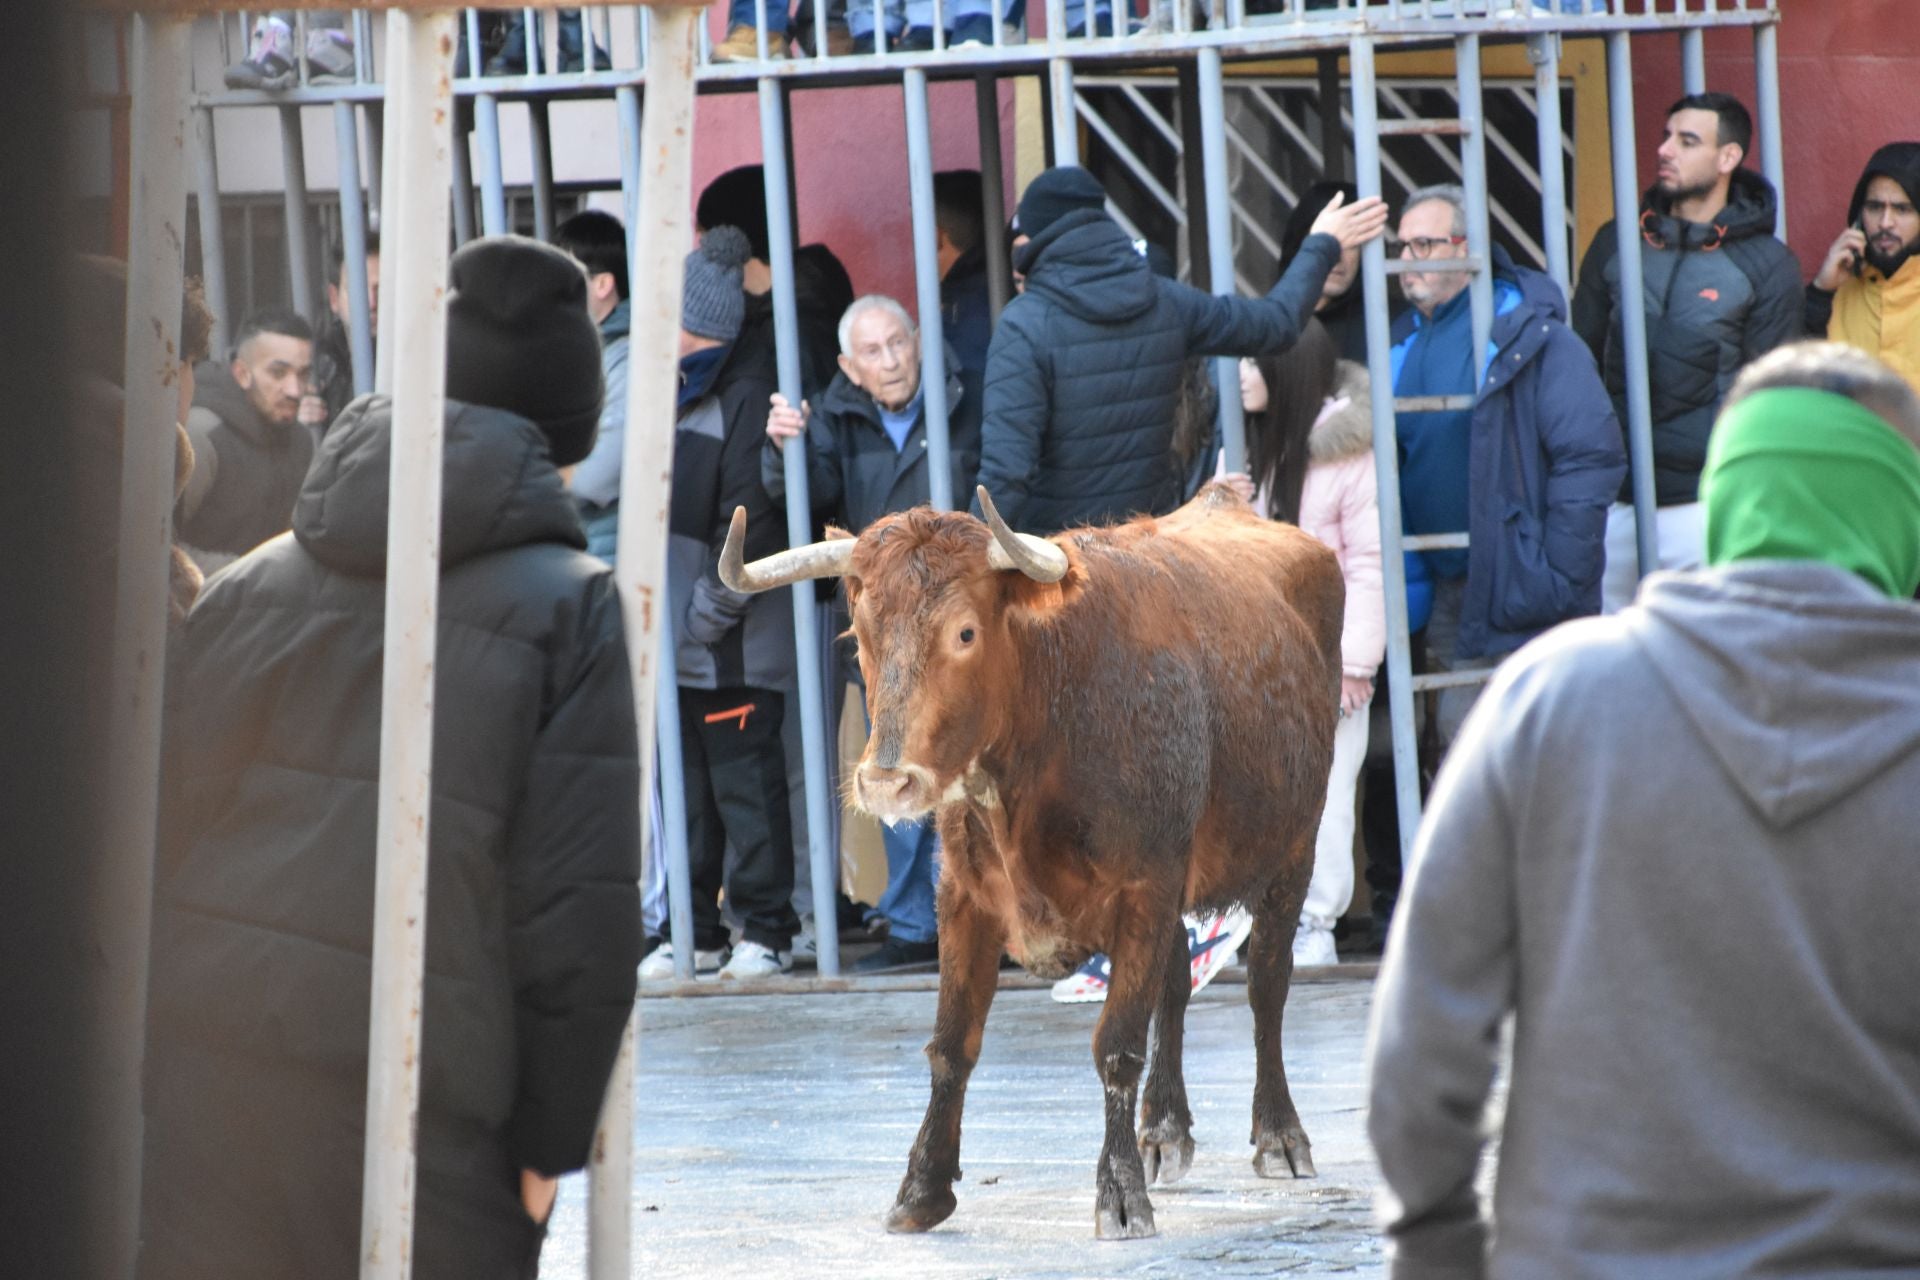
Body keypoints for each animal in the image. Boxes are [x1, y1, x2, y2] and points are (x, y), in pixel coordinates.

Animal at [721, 483, 1351, 1243]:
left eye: (965, 633)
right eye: (860, 636)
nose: (887, 782)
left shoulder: (1146, 884)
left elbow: (1117, 1044)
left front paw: (1120, 1194)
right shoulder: (965, 897)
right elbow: (952, 1045)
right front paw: (922, 1188)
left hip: (1295, 848)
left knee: (1267, 985)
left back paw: (1279, 1134)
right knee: (1176, 983)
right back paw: (1165, 1130)